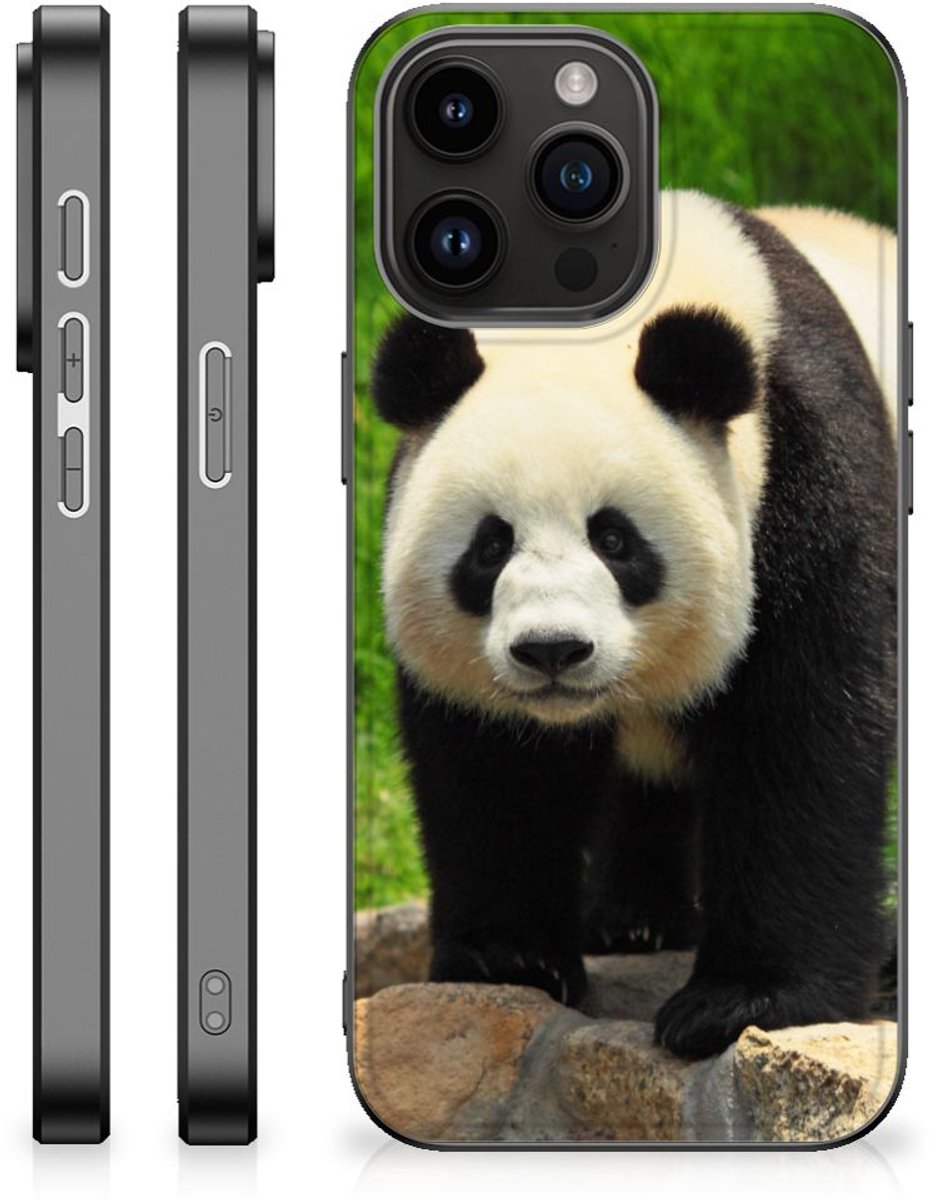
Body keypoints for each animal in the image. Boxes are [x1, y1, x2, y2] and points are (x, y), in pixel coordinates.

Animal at [370, 190, 897, 1059]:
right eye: (490, 545)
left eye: (615, 540)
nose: (552, 650)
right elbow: (495, 768)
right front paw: (509, 958)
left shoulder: (809, 478)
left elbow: (802, 737)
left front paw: (741, 1001)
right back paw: (633, 919)